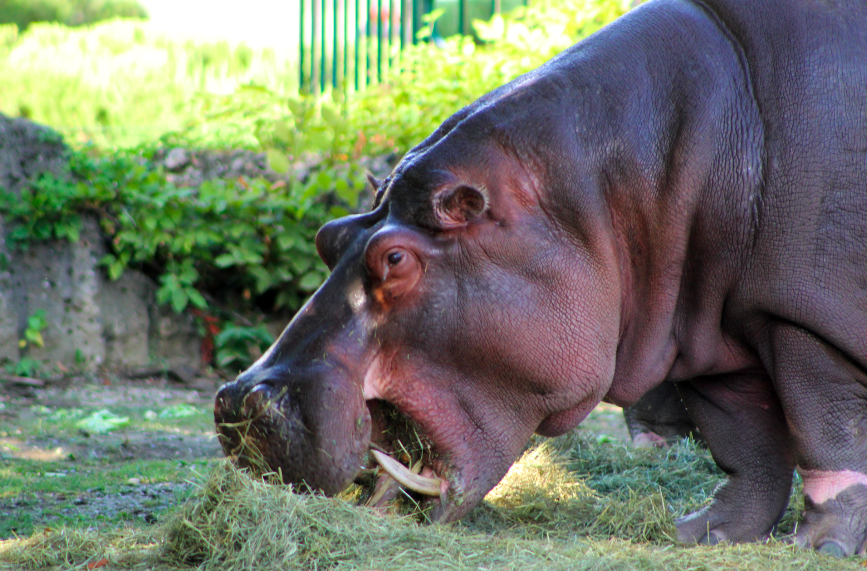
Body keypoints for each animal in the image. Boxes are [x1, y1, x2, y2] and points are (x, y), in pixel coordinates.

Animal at [215, 0, 867, 556]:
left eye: (395, 260)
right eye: (329, 235)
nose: (238, 400)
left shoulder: (802, 323)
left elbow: (826, 432)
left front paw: (819, 547)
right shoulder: (711, 332)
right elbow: (745, 445)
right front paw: (702, 534)